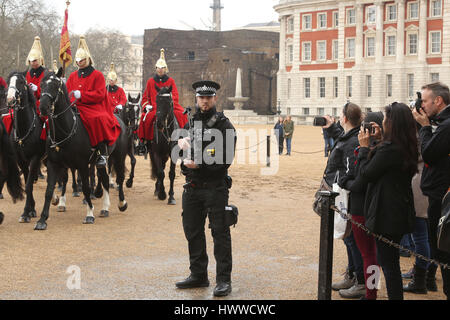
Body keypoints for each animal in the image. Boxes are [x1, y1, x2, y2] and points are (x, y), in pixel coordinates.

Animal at [6, 72, 46, 222]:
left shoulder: (35, 157)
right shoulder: (21, 160)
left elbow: (28, 185)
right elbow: (29, 181)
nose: (10, 99)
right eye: (8, 82)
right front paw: (30, 210)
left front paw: (26, 211)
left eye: (21, 82)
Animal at [36, 70, 129, 230]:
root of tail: (118, 119)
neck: (66, 130)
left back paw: (121, 203)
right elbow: (49, 190)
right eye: (42, 84)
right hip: (101, 161)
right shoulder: (54, 164)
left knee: (120, 178)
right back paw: (105, 208)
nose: (43, 107)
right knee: (105, 179)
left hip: (118, 157)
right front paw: (42, 219)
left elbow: (85, 188)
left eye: (55, 85)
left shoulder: (82, 165)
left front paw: (89, 214)